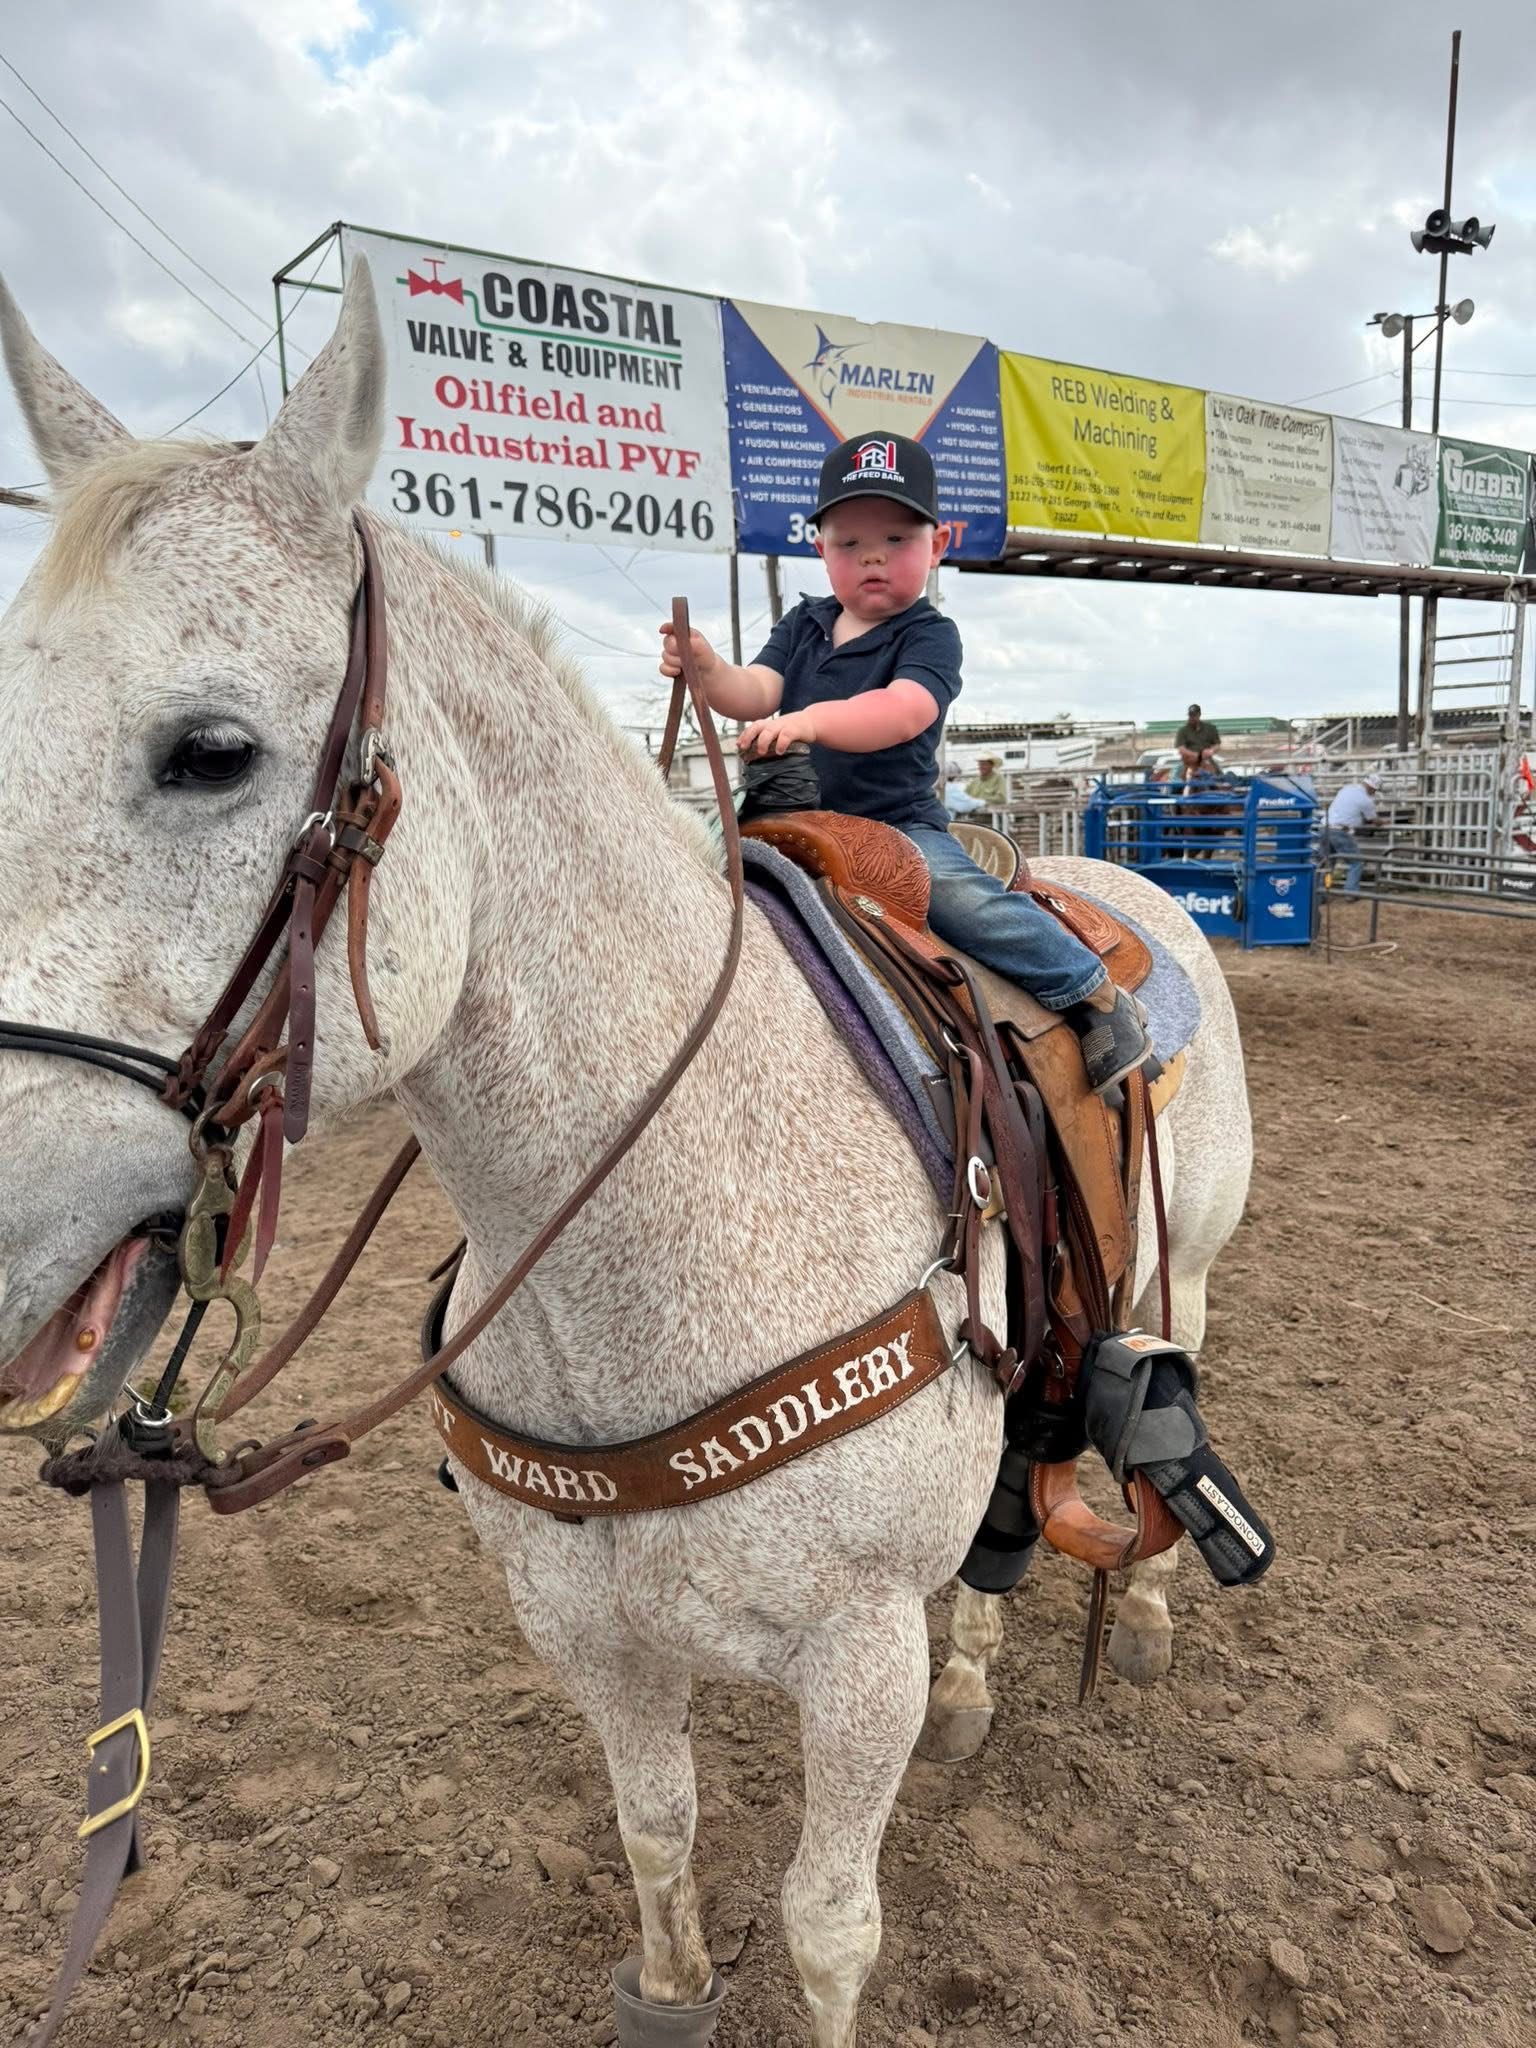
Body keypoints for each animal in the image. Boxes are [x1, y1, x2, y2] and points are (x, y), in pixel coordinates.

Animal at [0, 261, 1252, 2047]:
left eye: (211, 750)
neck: (660, 1238)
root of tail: (1129, 884)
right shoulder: (588, 1633)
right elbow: (656, 1828)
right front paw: (666, 1984)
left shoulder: (851, 1661)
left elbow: (828, 1927)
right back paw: (978, 1685)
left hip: (1178, 1267)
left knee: (1159, 1381)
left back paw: (1136, 1610)